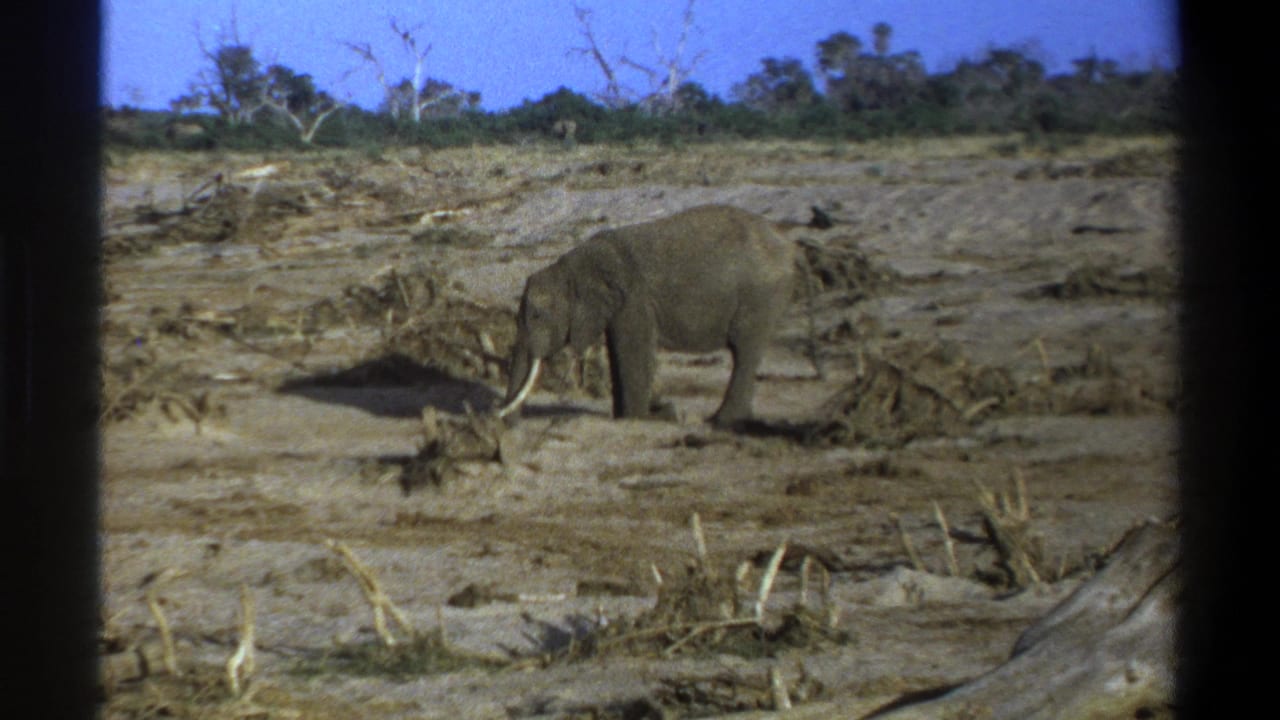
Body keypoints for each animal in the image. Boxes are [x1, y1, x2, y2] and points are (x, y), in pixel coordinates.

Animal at [497, 205, 794, 427]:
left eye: (537, 315)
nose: (507, 423)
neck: (573, 266)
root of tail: (785, 242)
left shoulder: (634, 300)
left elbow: (633, 351)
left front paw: (641, 418)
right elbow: (617, 352)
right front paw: (627, 416)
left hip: (759, 296)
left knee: (744, 352)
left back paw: (720, 421)